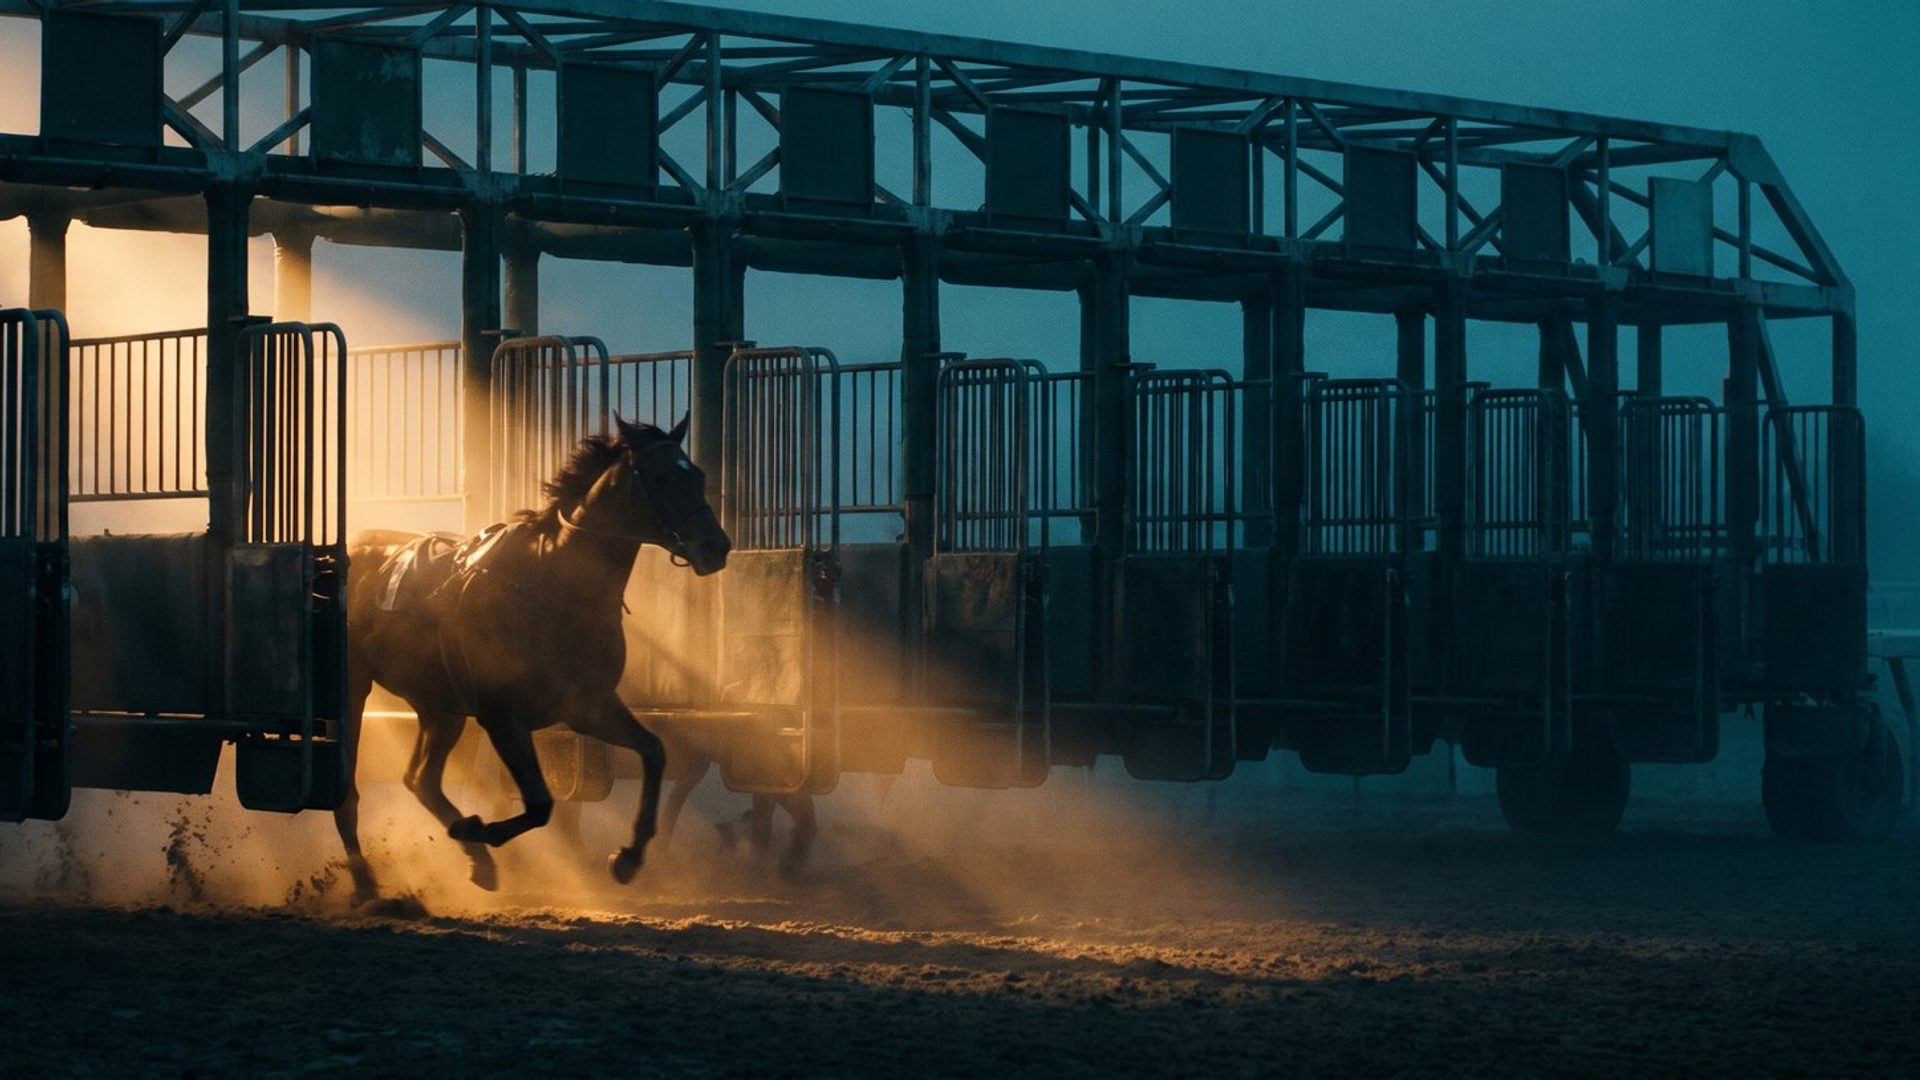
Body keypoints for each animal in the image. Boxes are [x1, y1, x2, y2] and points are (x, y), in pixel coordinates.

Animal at [333, 416, 730, 903]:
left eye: (697, 475)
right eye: (660, 478)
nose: (715, 546)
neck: (552, 589)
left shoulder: (587, 706)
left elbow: (654, 751)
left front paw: (628, 857)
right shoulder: (502, 717)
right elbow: (540, 804)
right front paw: (481, 829)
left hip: (440, 707)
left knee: (421, 779)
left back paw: (478, 862)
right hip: (354, 692)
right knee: (350, 794)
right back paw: (368, 883)